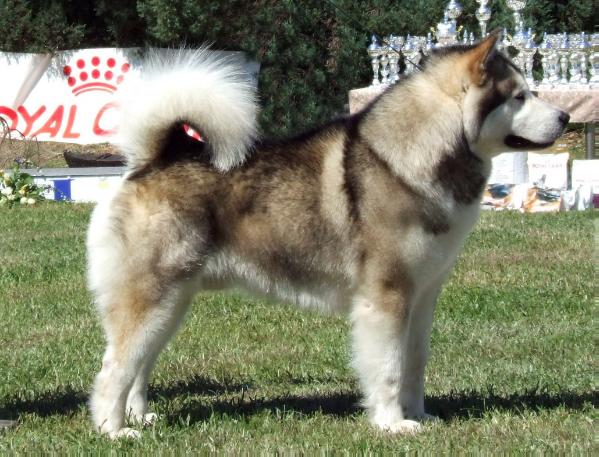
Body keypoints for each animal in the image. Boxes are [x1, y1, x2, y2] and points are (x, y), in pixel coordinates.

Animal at [86, 33, 568, 438]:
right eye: (520, 96)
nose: (565, 116)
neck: (411, 158)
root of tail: (152, 161)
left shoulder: (423, 296)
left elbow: (415, 363)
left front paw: (421, 415)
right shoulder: (386, 297)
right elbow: (389, 367)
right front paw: (393, 425)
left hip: (172, 304)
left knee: (139, 366)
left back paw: (139, 416)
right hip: (151, 299)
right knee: (113, 368)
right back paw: (113, 431)